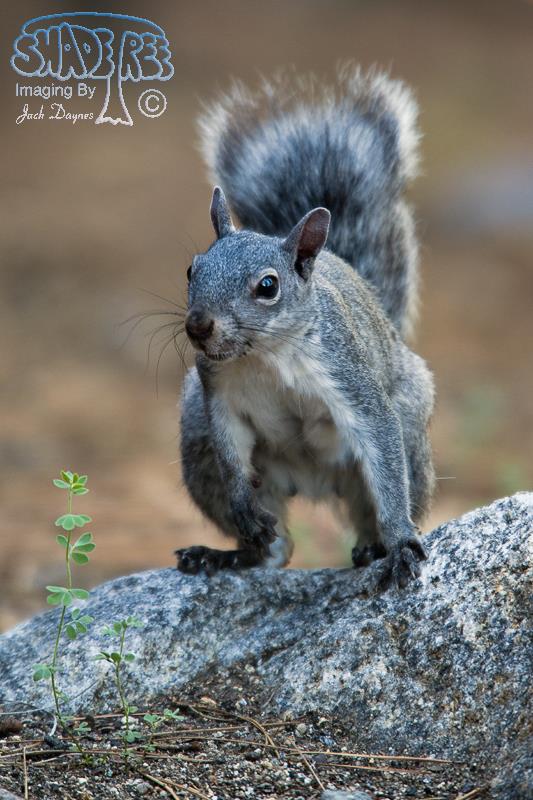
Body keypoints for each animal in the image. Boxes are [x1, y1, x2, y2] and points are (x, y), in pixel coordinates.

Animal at [175, 67, 435, 590]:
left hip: (410, 425)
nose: (198, 327)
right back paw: (230, 555)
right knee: (277, 549)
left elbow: (381, 441)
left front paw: (400, 543)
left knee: (383, 497)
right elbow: (230, 449)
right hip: (197, 441)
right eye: (192, 269)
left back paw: (378, 547)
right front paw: (241, 503)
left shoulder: (350, 377)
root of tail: (314, 484)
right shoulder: (217, 396)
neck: (265, 354)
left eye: (268, 286)